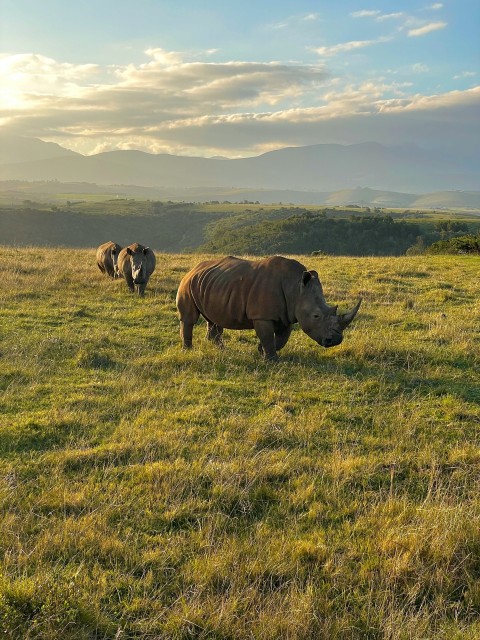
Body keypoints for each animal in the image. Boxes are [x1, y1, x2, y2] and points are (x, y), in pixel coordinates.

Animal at [176, 255, 361, 361]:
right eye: (316, 316)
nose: (335, 340)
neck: (296, 288)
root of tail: (194, 268)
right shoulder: (261, 315)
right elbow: (267, 336)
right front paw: (271, 360)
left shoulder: (288, 315)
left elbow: (280, 339)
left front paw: (261, 351)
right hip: (187, 283)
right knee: (189, 319)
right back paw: (188, 351)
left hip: (213, 283)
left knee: (214, 319)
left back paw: (221, 350)